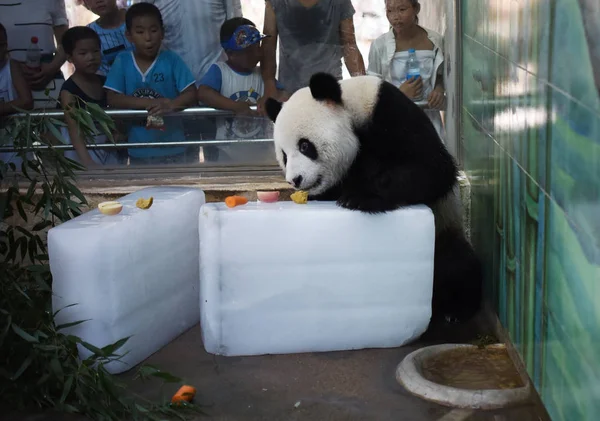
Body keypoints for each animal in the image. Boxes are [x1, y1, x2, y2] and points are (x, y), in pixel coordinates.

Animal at [268, 72, 482, 324]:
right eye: (284, 155)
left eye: (304, 145)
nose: (295, 180)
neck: (351, 109)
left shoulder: (392, 114)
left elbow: (432, 168)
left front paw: (360, 197)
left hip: (444, 227)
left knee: (457, 264)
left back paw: (455, 310)